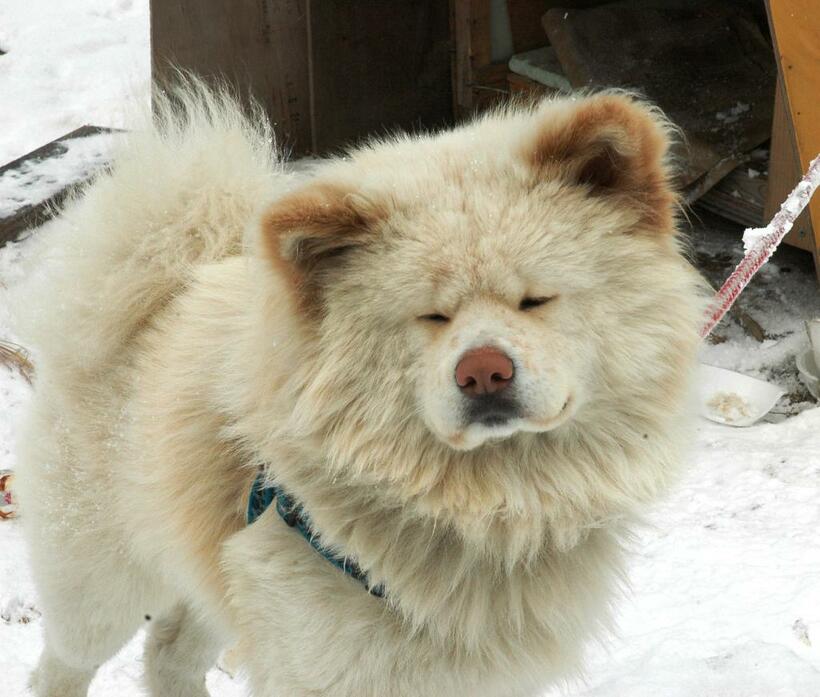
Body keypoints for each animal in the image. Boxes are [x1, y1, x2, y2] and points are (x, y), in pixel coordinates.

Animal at [12, 83, 704, 696]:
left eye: (535, 300)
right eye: (431, 317)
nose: (483, 371)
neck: (486, 511)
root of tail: (165, 291)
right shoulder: (319, 661)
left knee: (169, 653)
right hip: (100, 588)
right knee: (63, 666)